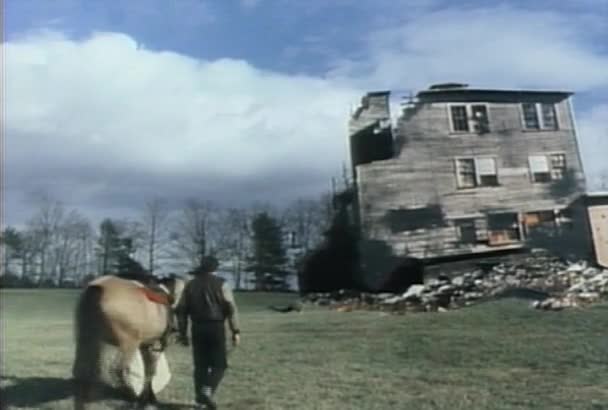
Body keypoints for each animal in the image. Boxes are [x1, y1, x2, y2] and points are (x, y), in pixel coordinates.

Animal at [72, 272, 185, 410]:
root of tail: (97, 288)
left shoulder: (145, 345)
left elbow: (148, 370)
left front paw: (148, 398)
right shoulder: (154, 346)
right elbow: (151, 371)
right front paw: (147, 399)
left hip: (88, 339)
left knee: (82, 372)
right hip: (128, 344)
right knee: (118, 370)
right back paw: (132, 397)